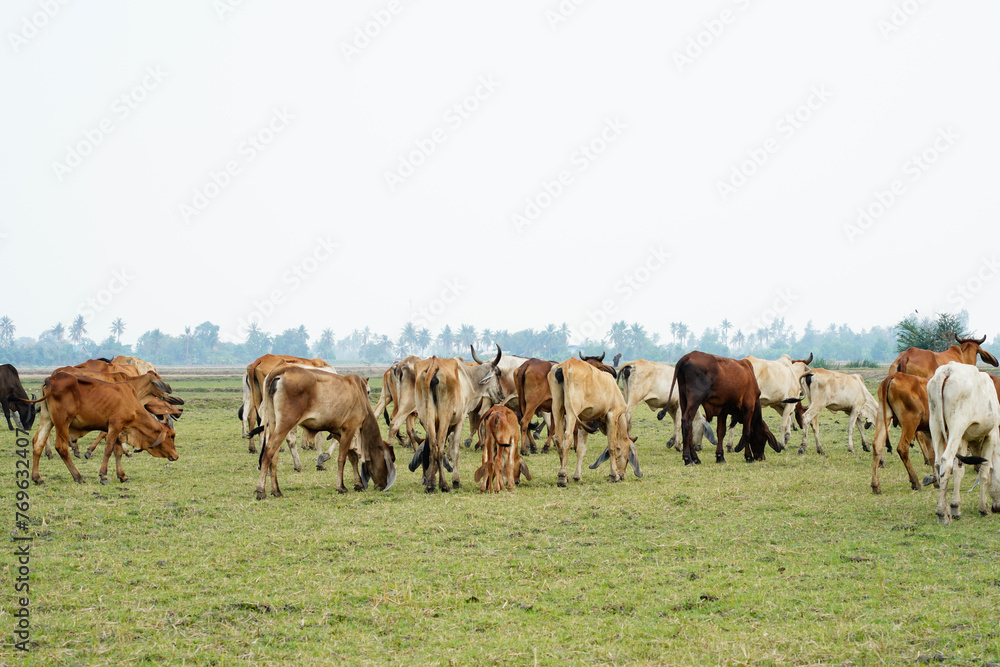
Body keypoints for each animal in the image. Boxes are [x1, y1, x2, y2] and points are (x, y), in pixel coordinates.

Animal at [26, 370, 179, 486]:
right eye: (172, 436)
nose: (176, 456)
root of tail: (51, 379)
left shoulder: (120, 430)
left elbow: (118, 453)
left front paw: (122, 476)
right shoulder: (115, 425)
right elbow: (109, 450)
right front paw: (103, 476)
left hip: (47, 419)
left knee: (38, 443)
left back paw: (37, 478)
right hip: (62, 422)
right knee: (61, 447)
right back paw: (78, 477)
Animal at [254, 366, 394, 500]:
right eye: (391, 460)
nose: (382, 486)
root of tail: (282, 370)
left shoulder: (339, 432)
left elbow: (352, 457)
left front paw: (358, 484)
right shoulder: (349, 428)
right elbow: (342, 458)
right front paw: (341, 487)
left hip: (273, 422)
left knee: (274, 455)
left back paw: (276, 490)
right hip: (286, 423)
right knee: (269, 450)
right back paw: (261, 491)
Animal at [414, 348, 504, 494]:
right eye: (498, 374)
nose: (502, 395)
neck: (467, 376)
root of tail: (434, 364)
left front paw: (429, 477)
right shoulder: (460, 420)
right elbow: (455, 450)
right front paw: (455, 481)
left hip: (427, 418)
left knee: (433, 446)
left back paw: (431, 485)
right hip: (445, 418)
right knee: (439, 448)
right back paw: (444, 485)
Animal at [544, 358, 636, 488]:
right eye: (627, 457)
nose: (623, 474)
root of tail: (567, 364)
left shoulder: (583, 421)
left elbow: (581, 449)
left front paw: (577, 476)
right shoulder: (612, 415)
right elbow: (612, 446)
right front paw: (614, 475)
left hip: (557, 408)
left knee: (558, 438)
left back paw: (566, 476)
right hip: (572, 409)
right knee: (567, 437)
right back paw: (562, 476)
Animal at [920, 362, 1000, 524]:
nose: (997, 508)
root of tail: (948, 370)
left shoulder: (963, 439)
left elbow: (959, 471)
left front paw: (955, 507)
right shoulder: (991, 436)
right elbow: (984, 472)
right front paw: (983, 509)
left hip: (935, 425)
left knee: (938, 464)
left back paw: (944, 510)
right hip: (957, 425)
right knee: (946, 460)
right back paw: (942, 514)